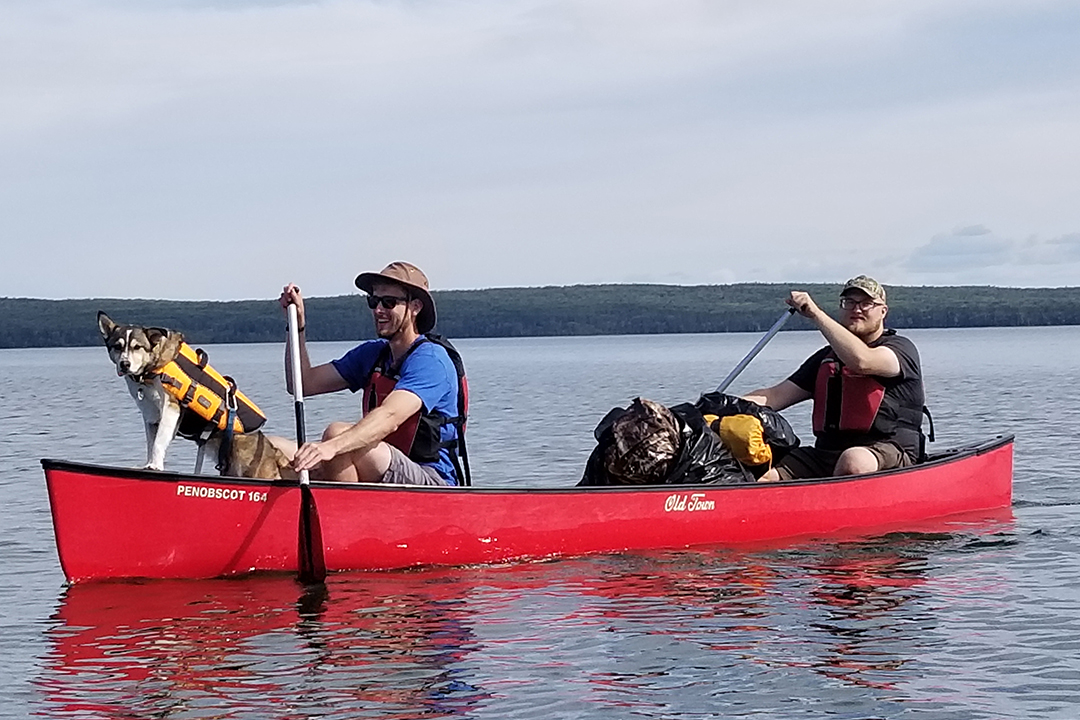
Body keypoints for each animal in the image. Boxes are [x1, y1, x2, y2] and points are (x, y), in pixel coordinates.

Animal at [98, 310, 295, 479]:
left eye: (137, 347)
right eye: (117, 346)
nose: (124, 364)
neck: (152, 370)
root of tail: (271, 450)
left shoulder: (171, 407)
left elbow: (159, 442)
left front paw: (154, 466)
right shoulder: (150, 414)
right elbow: (151, 443)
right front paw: (149, 464)